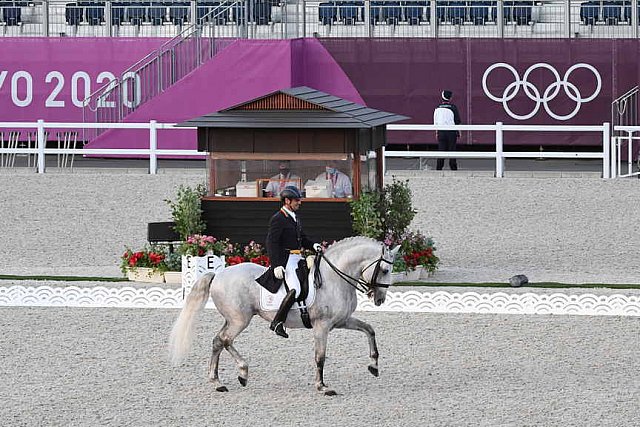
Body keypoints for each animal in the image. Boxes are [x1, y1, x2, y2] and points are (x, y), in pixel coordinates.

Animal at [170, 236, 400, 396]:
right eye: (385, 270)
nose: (380, 299)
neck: (335, 278)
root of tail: (218, 274)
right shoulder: (322, 326)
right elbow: (320, 356)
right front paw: (323, 387)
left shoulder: (342, 321)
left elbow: (369, 329)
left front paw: (373, 365)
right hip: (239, 320)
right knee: (225, 340)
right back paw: (242, 372)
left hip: (232, 319)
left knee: (218, 341)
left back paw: (217, 382)